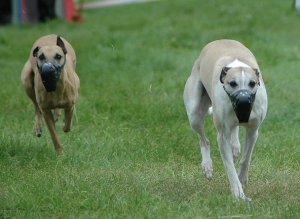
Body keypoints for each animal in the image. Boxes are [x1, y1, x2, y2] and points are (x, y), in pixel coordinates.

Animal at [183, 39, 268, 200]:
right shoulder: (222, 136)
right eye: (232, 83)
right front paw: (238, 194)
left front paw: (242, 179)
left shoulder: (253, 130)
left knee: (234, 130)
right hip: (195, 113)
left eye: (252, 83)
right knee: (204, 140)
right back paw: (207, 166)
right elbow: (229, 167)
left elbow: (246, 158)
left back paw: (235, 147)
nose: (243, 102)